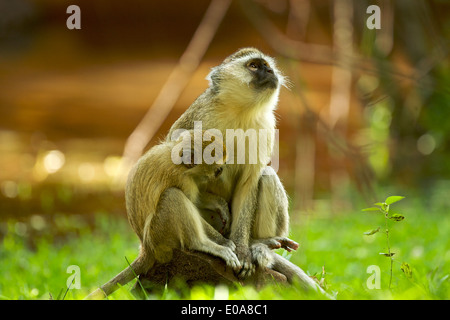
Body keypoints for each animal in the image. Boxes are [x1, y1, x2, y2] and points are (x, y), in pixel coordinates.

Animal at [85, 130, 239, 300]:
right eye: (217, 169)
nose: (221, 171)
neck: (178, 158)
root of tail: (146, 248)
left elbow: (196, 201)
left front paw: (220, 204)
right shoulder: (181, 177)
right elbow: (190, 201)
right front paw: (223, 241)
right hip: (159, 235)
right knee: (172, 195)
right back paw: (200, 243)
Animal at [167, 47, 298, 278]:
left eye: (267, 65)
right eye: (254, 66)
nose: (270, 71)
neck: (241, 112)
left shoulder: (266, 126)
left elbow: (249, 182)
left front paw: (243, 251)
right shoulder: (200, 114)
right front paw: (214, 202)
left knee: (267, 176)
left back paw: (261, 245)